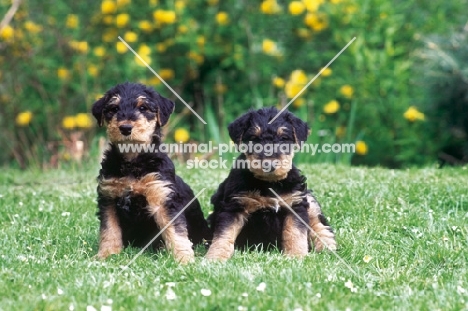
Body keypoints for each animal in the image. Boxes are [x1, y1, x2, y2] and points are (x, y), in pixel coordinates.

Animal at [91, 82, 210, 264]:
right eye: (113, 108)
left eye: (143, 107)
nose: (125, 128)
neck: (133, 161)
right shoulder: (108, 198)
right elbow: (109, 230)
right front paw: (106, 255)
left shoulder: (162, 197)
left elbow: (176, 232)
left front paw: (184, 259)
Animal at [206, 107, 336, 260]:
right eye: (254, 138)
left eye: (283, 138)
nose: (269, 165)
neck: (269, 183)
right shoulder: (234, 206)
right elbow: (224, 234)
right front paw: (215, 257)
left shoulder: (295, 204)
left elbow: (295, 234)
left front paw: (296, 257)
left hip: (308, 199)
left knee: (318, 224)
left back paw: (327, 247)